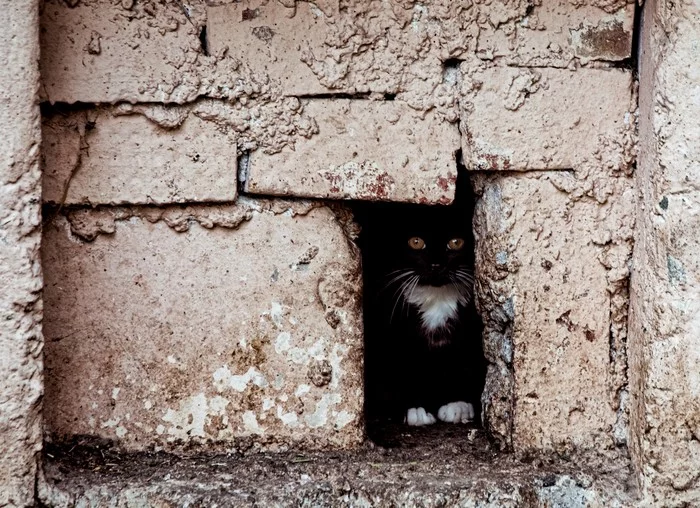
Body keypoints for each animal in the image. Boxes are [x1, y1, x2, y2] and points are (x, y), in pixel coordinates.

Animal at [358, 181, 484, 426]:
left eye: (456, 242)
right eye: (416, 242)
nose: (436, 264)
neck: (436, 297)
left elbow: (465, 363)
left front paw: (458, 404)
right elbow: (400, 369)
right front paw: (416, 409)